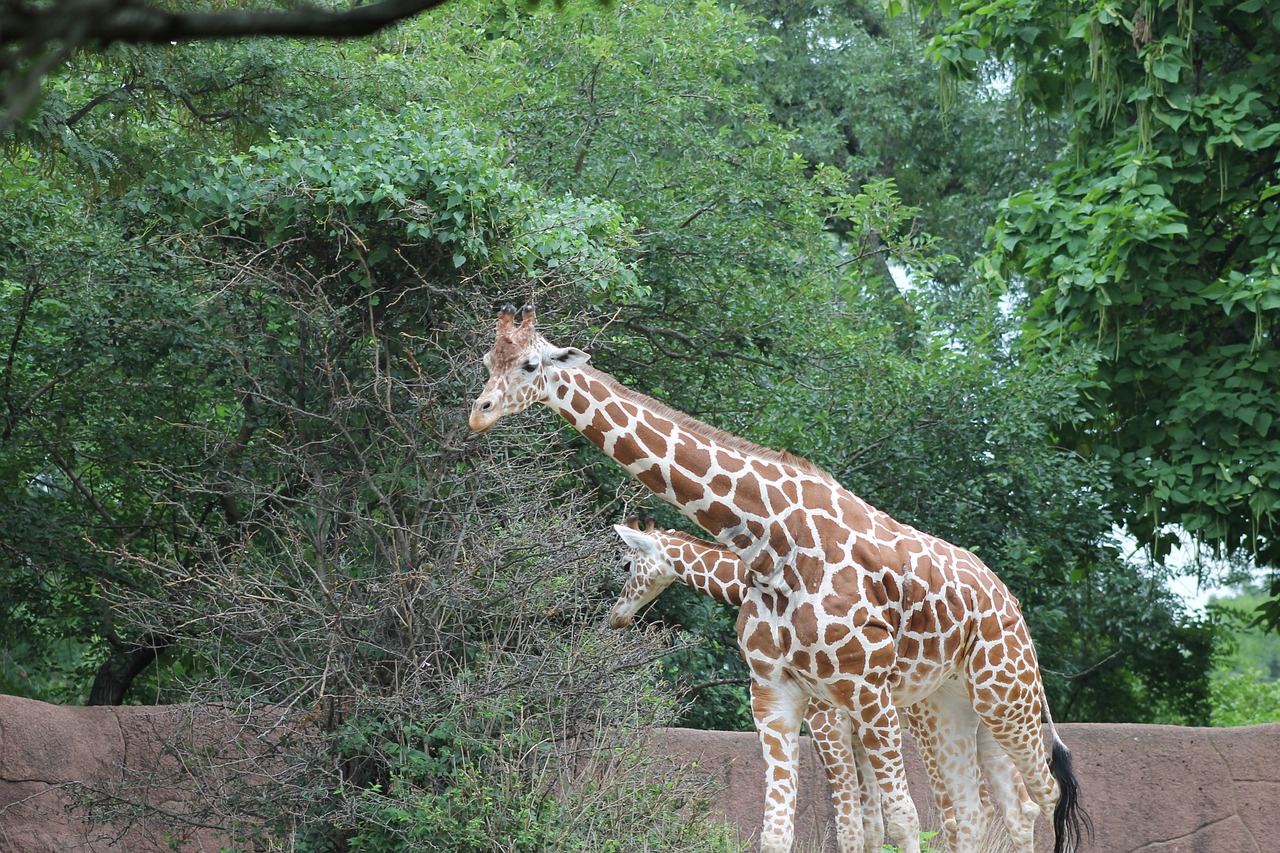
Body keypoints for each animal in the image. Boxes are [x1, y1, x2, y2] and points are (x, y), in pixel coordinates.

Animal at [609, 514, 1039, 845]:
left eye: (627, 565)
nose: (616, 617)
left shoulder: (826, 719)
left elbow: (854, 825)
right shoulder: (854, 732)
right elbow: (871, 825)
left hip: (930, 721)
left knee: (964, 810)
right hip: (982, 718)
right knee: (1016, 807)